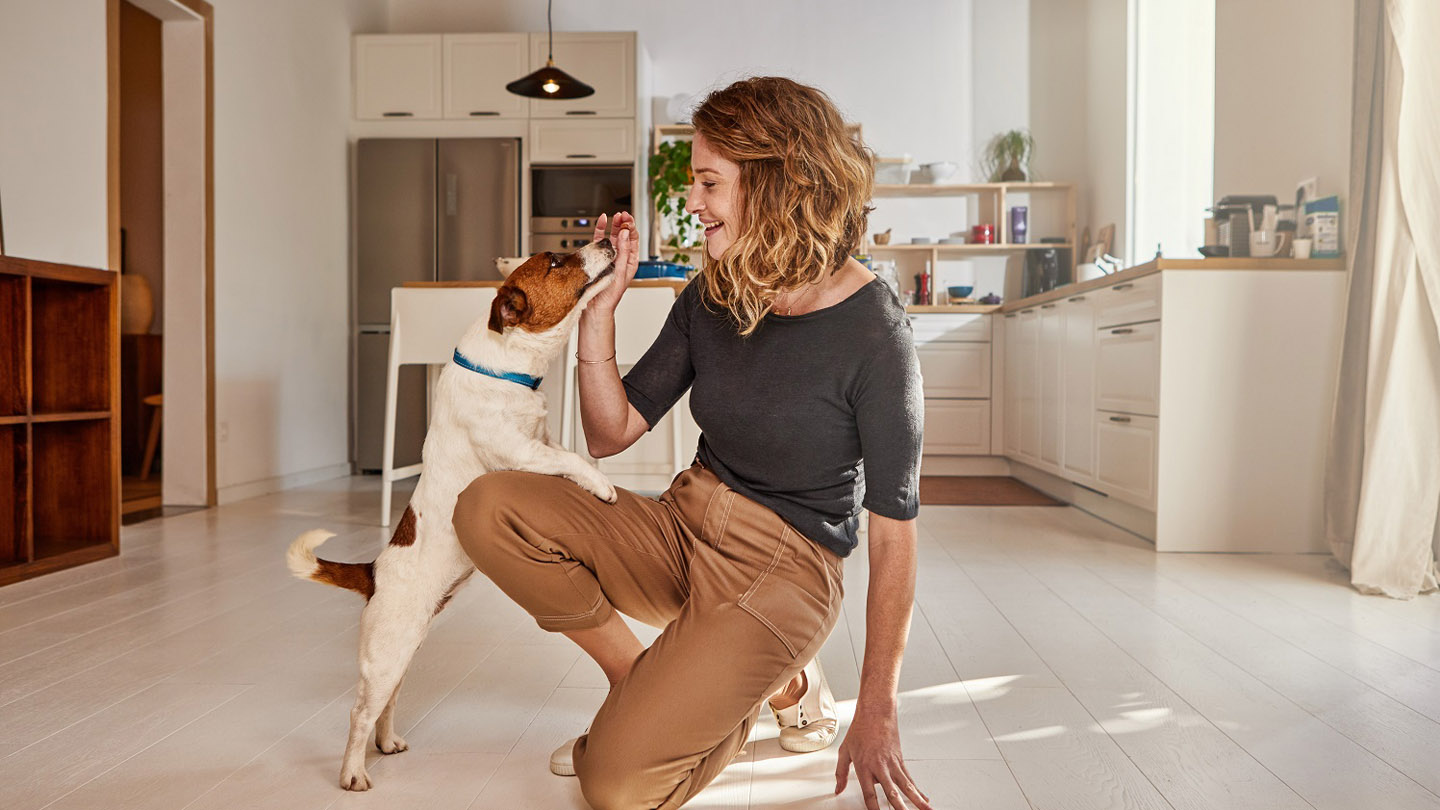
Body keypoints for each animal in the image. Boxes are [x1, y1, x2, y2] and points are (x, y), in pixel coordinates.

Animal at [286, 236, 619, 784]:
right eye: (555, 260)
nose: (608, 238)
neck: (506, 368)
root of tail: (373, 572)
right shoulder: (520, 451)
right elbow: (570, 459)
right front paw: (603, 486)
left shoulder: (542, 438)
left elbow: (568, 450)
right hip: (385, 654)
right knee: (359, 712)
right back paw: (353, 773)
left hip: (404, 652)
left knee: (387, 704)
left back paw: (388, 743)